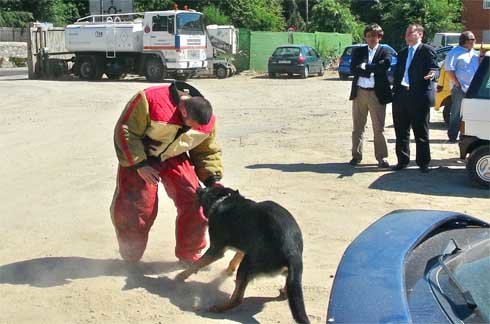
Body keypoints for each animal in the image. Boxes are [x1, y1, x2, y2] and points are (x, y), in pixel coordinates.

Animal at [174, 186, 308, 322]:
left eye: (207, 189)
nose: (198, 188)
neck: (222, 201)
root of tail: (292, 252)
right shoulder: (245, 246)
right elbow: (236, 256)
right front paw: (229, 269)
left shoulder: (216, 250)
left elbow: (197, 263)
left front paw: (181, 276)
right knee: (289, 284)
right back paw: (284, 292)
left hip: (246, 266)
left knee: (238, 299)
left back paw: (219, 308)